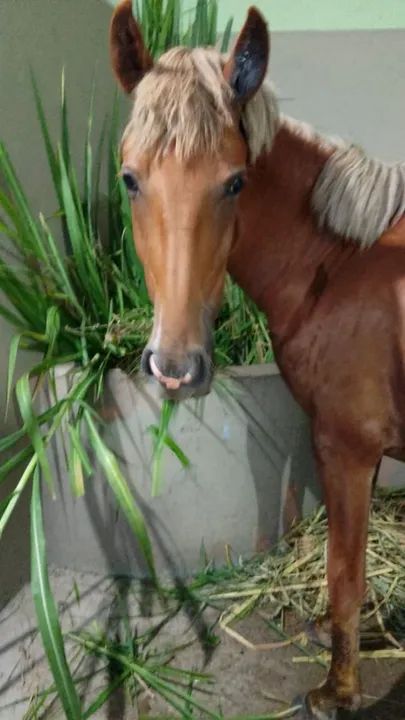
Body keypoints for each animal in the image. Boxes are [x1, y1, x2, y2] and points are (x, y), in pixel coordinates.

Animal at [109, 2, 405, 718]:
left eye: (235, 182)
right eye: (130, 178)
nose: (176, 367)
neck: (342, 266)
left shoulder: (347, 447)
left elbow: (346, 571)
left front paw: (338, 689)